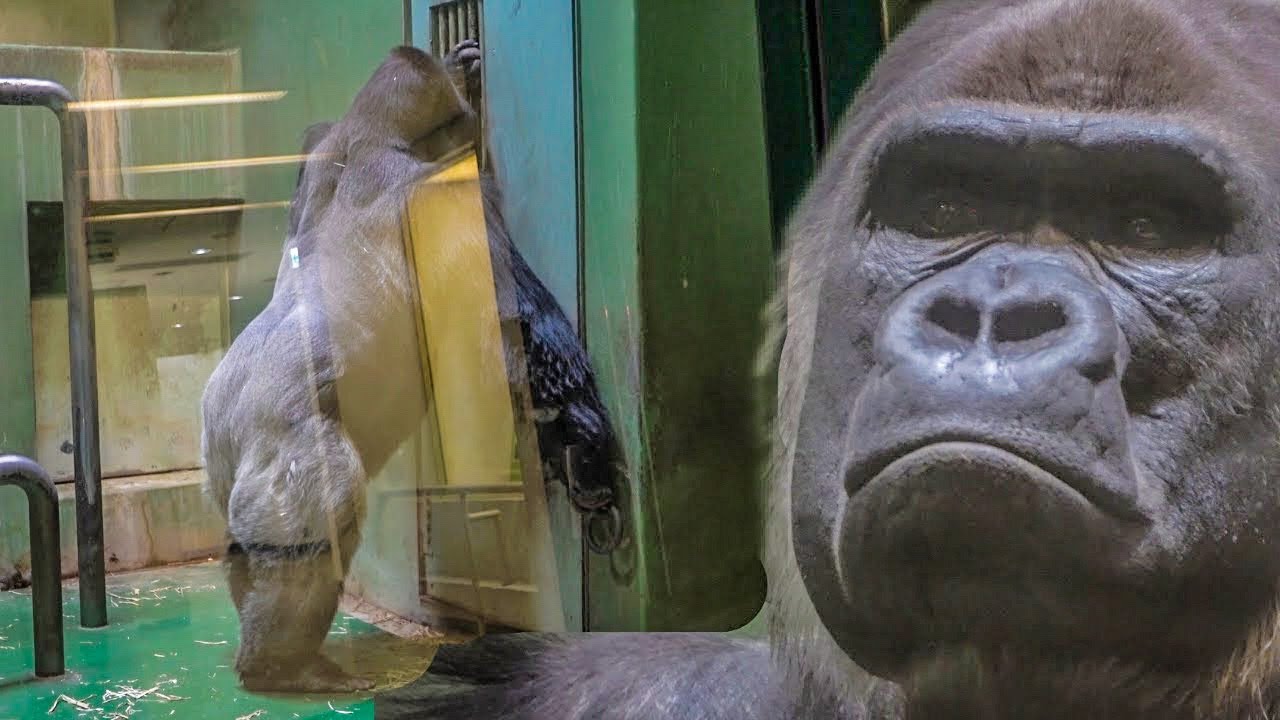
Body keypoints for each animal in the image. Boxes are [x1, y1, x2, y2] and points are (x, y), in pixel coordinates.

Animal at [201, 42, 621, 694]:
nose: (465, 71)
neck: (367, 137)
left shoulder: (324, 152)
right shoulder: (446, 194)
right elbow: (512, 323)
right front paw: (583, 434)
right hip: (299, 456)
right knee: (320, 528)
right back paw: (283, 665)